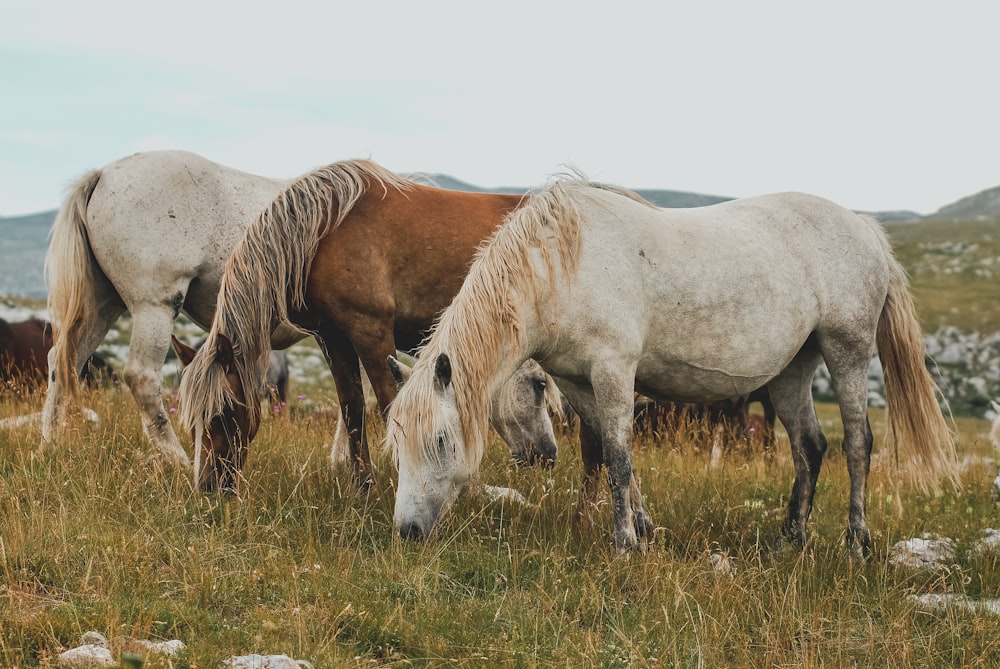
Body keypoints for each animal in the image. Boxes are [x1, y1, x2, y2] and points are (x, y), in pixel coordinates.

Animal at [180, 160, 540, 490]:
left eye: (224, 413)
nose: (207, 486)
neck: (324, 232)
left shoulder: (371, 332)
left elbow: (389, 405)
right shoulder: (332, 337)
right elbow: (352, 408)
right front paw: (363, 486)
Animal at [384, 177, 960, 560]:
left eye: (442, 441)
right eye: (397, 444)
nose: (406, 531)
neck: (563, 266)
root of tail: (863, 225)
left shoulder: (614, 372)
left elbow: (618, 458)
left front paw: (623, 545)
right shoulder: (583, 383)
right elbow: (614, 455)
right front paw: (642, 532)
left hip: (848, 351)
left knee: (858, 444)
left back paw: (856, 545)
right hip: (792, 370)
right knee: (809, 446)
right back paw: (789, 541)